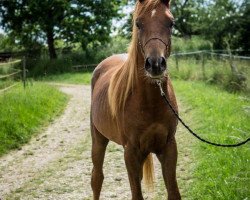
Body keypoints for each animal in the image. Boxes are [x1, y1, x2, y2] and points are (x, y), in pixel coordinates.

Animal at [91, 0, 181, 199]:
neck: (150, 102)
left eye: (171, 23)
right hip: (98, 139)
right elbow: (136, 194)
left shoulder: (169, 147)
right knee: (96, 178)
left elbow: (173, 192)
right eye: (138, 23)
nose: (155, 64)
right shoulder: (130, 152)